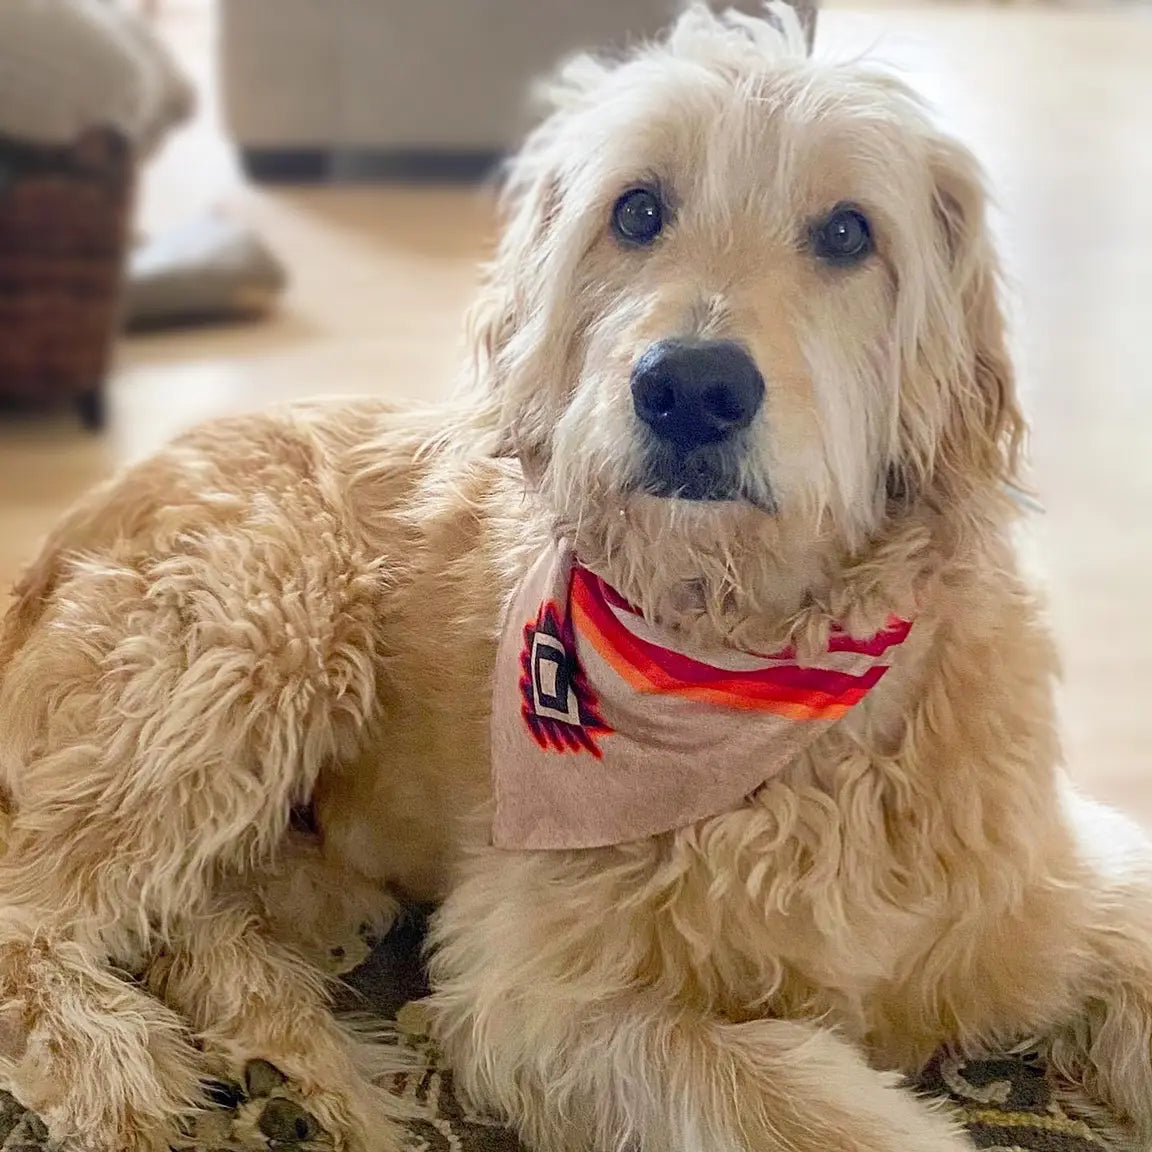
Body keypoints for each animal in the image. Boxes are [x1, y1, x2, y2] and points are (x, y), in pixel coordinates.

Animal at [2, 2, 1152, 1152]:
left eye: (847, 233)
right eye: (637, 211)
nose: (690, 389)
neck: (754, 666)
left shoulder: (1051, 888)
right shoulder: (540, 989)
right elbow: (808, 1101)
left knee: (186, 913)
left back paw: (293, 1071)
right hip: (254, 626)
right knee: (33, 897)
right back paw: (120, 1065)